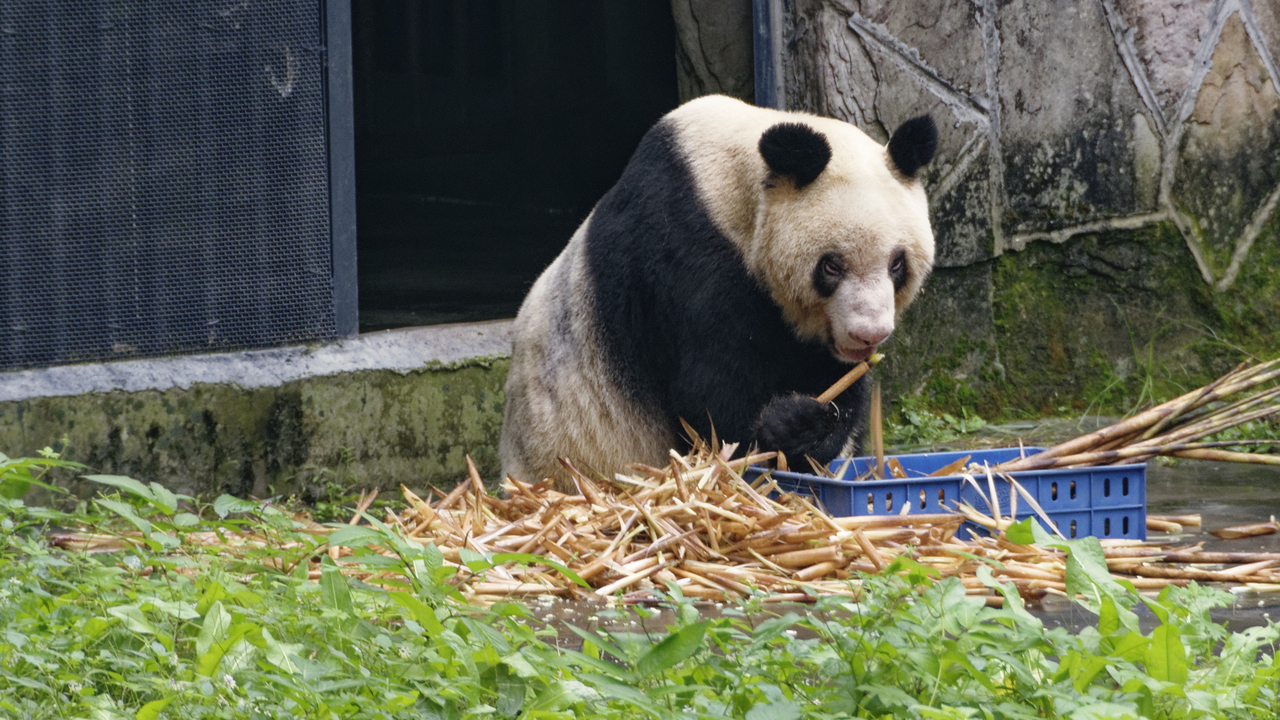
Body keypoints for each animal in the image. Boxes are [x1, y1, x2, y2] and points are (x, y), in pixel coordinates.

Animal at [500, 94, 937, 489]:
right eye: (831, 266)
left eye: (897, 264)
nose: (868, 334)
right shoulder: (686, 251)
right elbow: (713, 403)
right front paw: (787, 424)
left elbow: (836, 384)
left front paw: (810, 425)